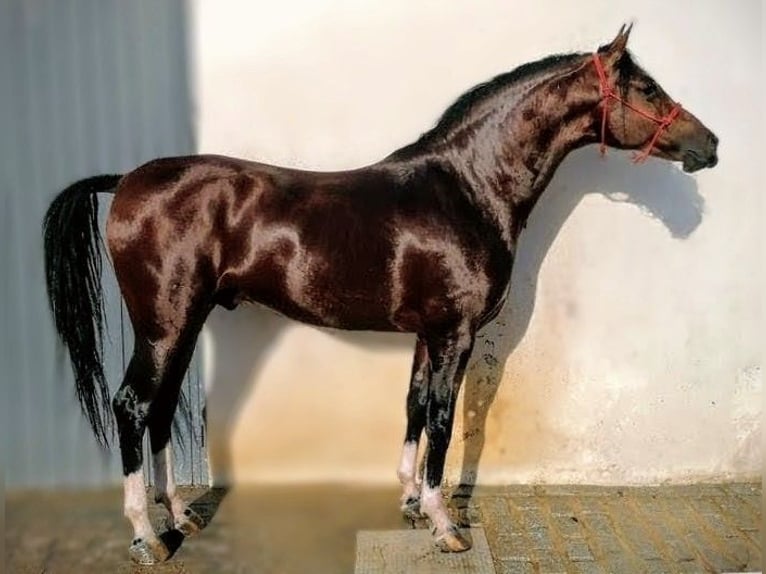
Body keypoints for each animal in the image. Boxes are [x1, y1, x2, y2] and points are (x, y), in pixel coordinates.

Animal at [43, 25, 718, 564]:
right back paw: (145, 535)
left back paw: (180, 517)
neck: (467, 188)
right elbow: (444, 420)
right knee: (132, 405)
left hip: (182, 323)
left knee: (159, 409)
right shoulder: (455, 334)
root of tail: (127, 180)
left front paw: (412, 503)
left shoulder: (427, 335)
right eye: (647, 88)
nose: (709, 145)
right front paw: (445, 524)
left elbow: (414, 407)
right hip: (166, 324)